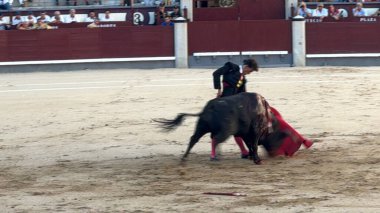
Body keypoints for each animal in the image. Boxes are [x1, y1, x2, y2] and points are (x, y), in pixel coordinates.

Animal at [153, 92, 284, 164]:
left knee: (195, 139)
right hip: (226, 130)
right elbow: (254, 145)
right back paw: (214, 157)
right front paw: (257, 160)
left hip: (201, 127)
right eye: (276, 136)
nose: (274, 152)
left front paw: (251, 157)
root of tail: (207, 108)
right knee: (216, 139)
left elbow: (249, 145)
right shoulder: (255, 131)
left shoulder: (245, 133)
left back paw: (185, 158)